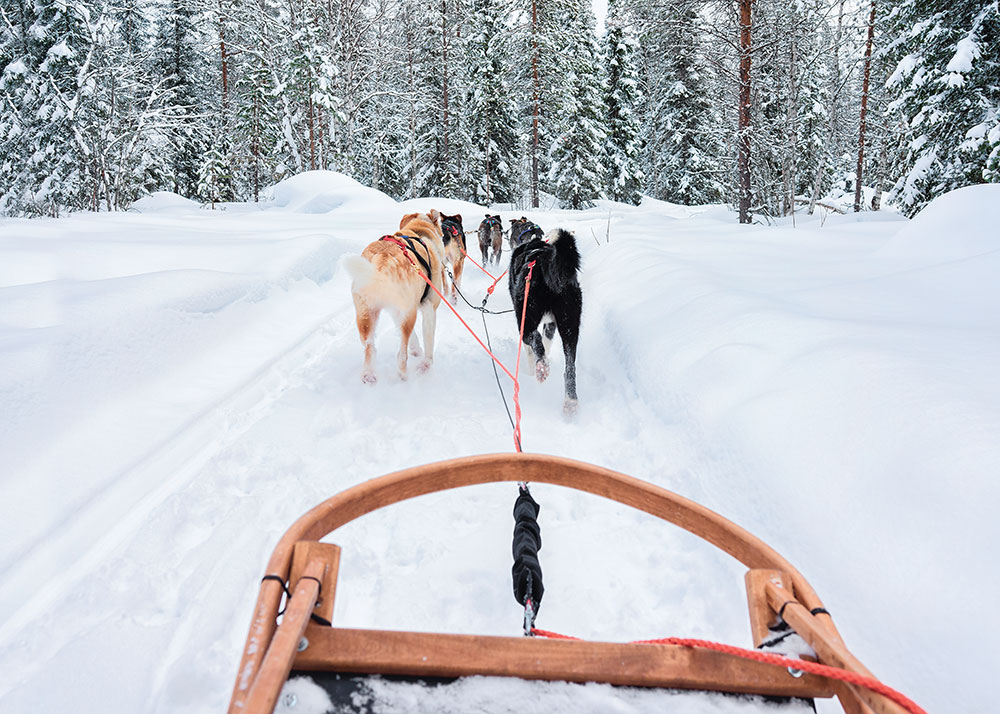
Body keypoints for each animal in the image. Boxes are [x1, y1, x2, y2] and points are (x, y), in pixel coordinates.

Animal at [348, 209, 450, 382]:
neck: (418, 231)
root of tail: (382, 259)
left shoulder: (397, 312)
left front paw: (415, 349)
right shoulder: (428, 306)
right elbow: (429, 340)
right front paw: (426, 363)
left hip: (366, 315)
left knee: (370, 346)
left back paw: (368, 375)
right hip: (409, 314)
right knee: (401, 354)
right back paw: (403, 375)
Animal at [508, 228, 580, 414]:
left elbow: (531, 349)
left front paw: (531, 369)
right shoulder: (552, 324)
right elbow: (548, 341)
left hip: (525, 318)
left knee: (535, 338)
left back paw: (541, 367)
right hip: (570, 325)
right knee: (570, 366)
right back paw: (570, 401)